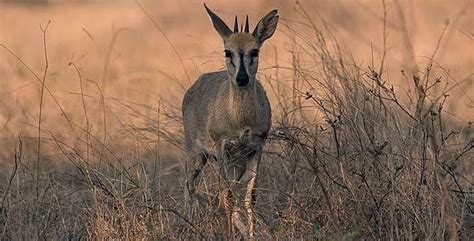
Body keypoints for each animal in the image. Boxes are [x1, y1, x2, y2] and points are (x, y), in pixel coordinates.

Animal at [181, 3, 278, 239]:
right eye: (228, 51)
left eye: (255, 51)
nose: (242, 79)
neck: (241, 120)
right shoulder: (222, 146)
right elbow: (227, 195)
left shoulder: (255, 148)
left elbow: (249, 196)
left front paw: (252, 235)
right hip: (198, 155)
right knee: (189, 187)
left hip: (235, 162)